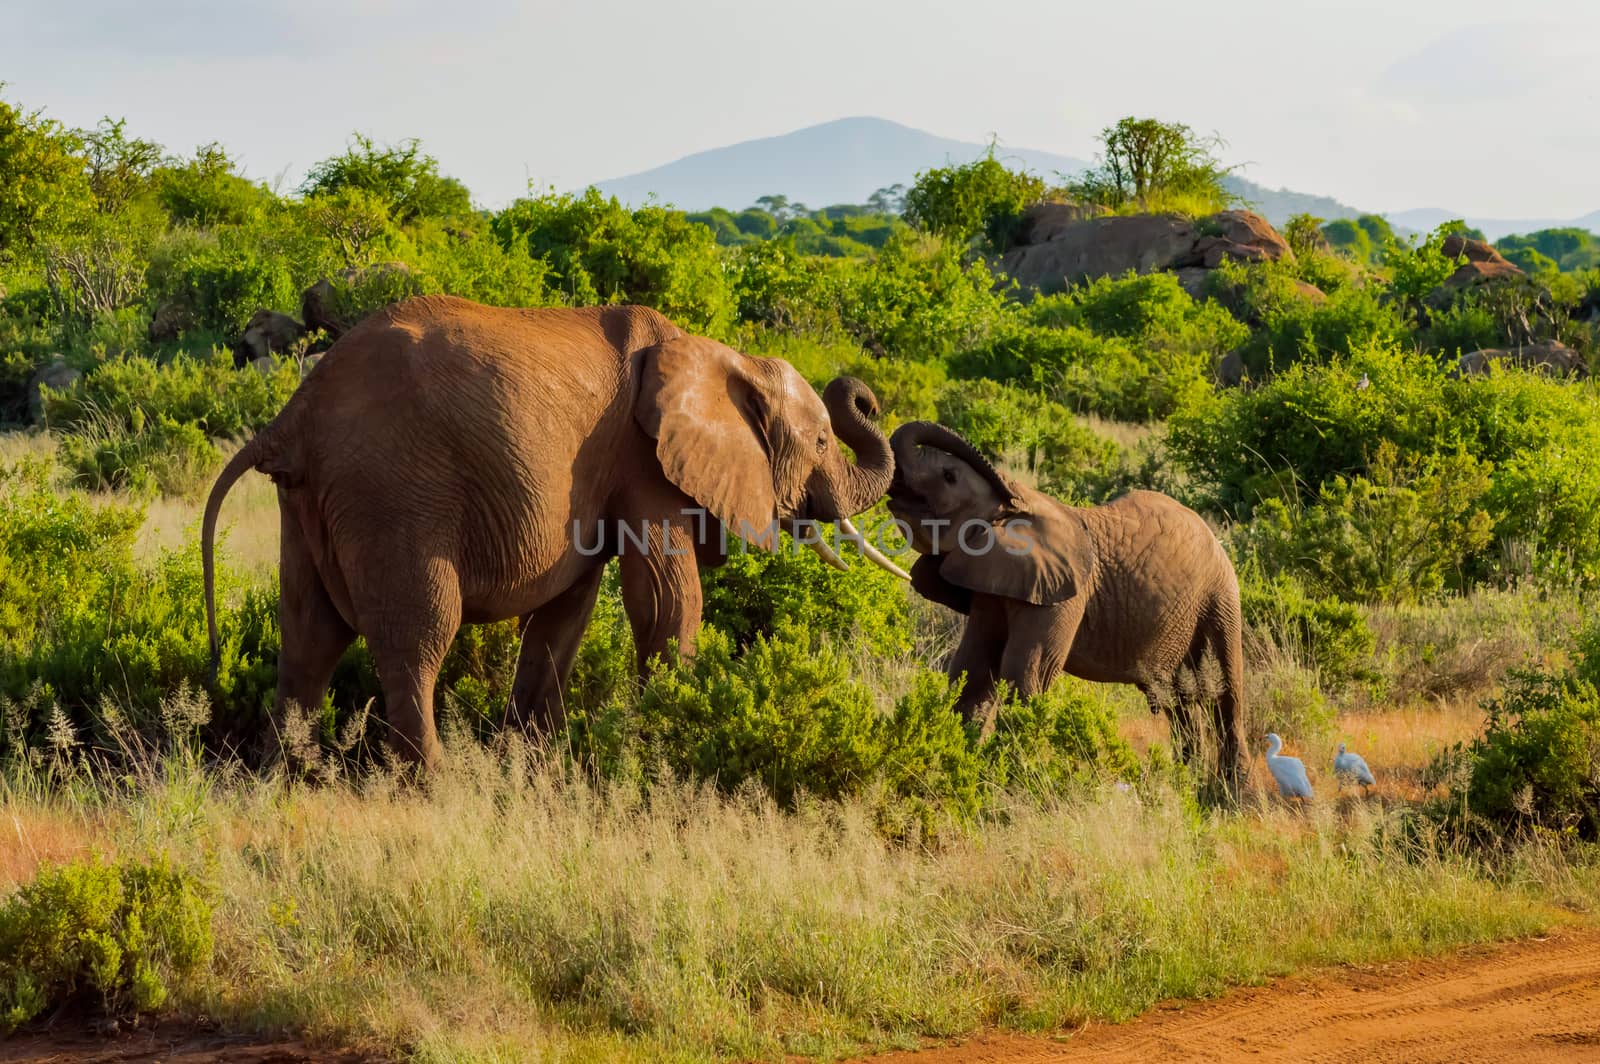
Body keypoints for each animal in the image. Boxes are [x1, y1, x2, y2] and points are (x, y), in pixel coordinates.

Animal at [201, 294, 908, 768]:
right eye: (822, 441)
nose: (864, 395)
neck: (721, 354)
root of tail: (293, 417)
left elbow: (567, 611)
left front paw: (535, 761)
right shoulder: (644, 460)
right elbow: (665, 600)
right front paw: (665, 732)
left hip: (311, 501)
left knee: (307, 635)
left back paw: (282, 779)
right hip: (392, 491)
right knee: (417, 636)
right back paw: (436, 787)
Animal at [889, 422, 1248, 787]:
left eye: (948, 476)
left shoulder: (1063, 595)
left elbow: (1027, 673)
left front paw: (1013, 781)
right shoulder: (992, 586)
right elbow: (973, 670)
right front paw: (963, 767)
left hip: (1220, 594)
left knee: (1228, 690)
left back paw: (1232, 791)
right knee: (1179, 701)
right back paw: (1186, 780)